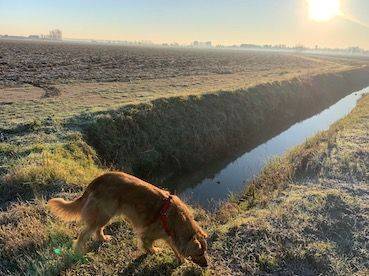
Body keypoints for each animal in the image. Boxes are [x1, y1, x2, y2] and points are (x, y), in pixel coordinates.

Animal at [47, 171, 207, 266]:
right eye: (199, 253)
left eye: (204, 252)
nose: (206, 265)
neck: (175, 219)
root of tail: (98, 179)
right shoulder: (148, 234)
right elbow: (147, 244)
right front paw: (153, 251)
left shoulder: (168, 236)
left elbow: (175, 248)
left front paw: (181, 260)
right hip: (103, 214)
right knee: (83, 234)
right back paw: (79, 252)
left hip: (106, 214)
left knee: (98, 229)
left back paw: (103, 239)